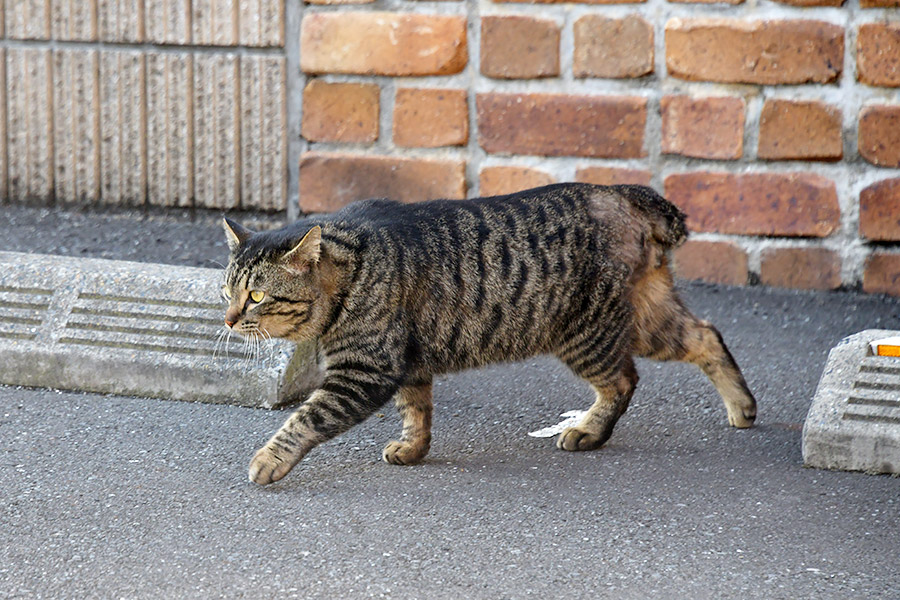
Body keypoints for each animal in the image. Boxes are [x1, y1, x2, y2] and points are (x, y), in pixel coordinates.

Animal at [221, 182, 756, 482]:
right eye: (227, 290)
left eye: (257, 296)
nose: (226, 319)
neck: (353, 268)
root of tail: (624, 193)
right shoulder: (410, 363)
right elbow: (417, 412)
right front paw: (413, 448)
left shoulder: (366, 370)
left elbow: (304, 419)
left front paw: (268, 459)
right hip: (649, 318)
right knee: (706, 334)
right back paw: (743, 408)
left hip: (586, 330)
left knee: (624, 380)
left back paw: (587, 430)